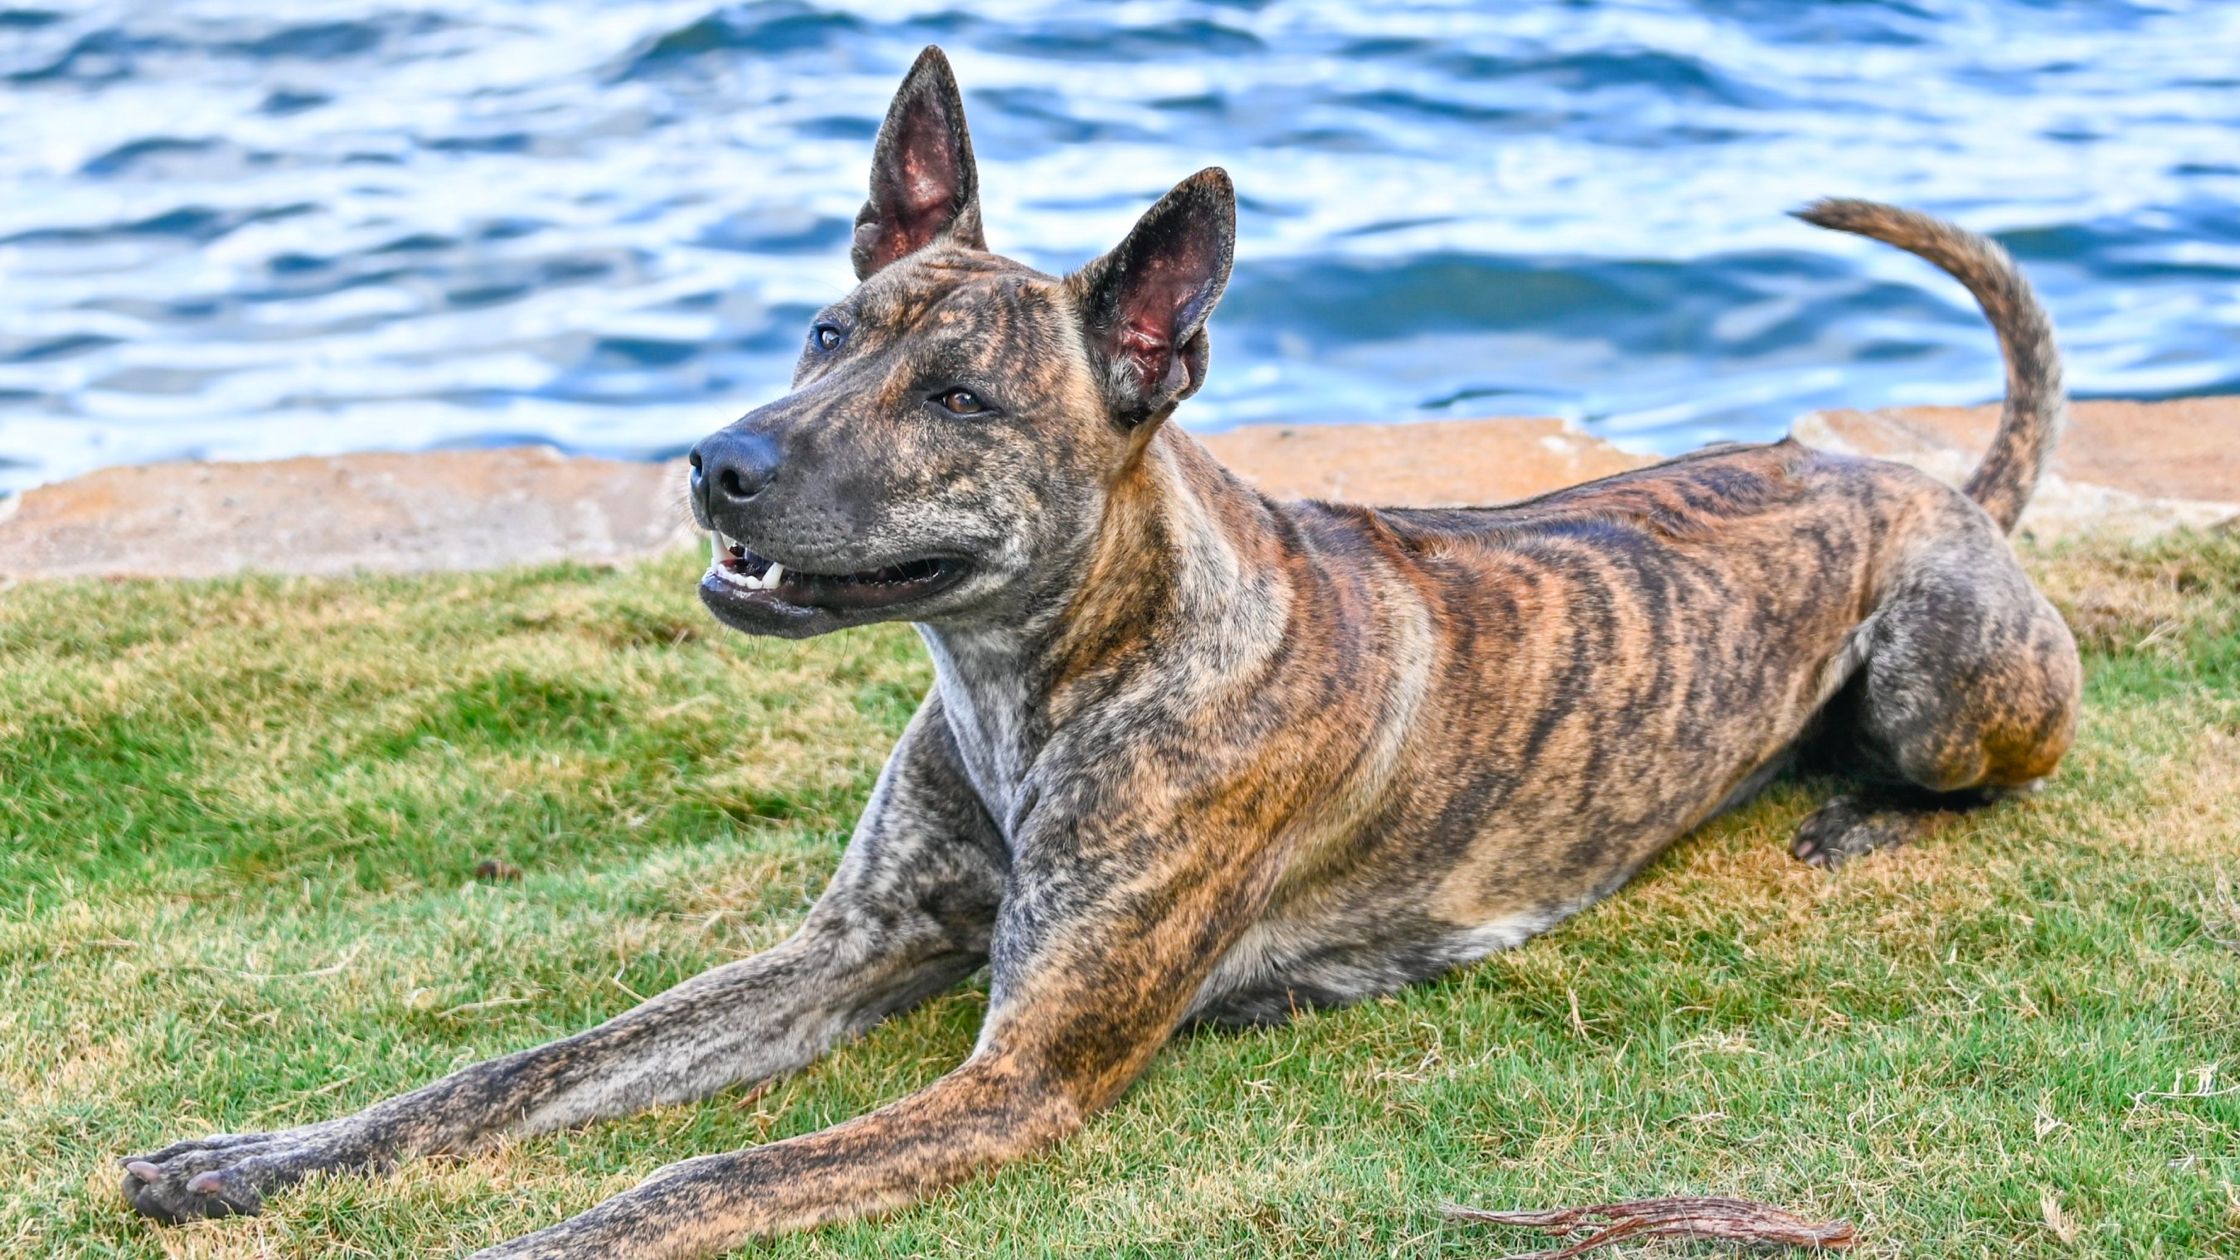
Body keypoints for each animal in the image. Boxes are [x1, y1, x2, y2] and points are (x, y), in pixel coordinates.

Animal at [118, 46, 2078, 1255]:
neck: (1042, 676)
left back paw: (1855, 810)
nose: (717, 461)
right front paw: (249, 1157)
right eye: (827, 330)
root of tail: (1931, 481)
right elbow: (517, 1074)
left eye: (962, 400)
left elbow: (690, 1174)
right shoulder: (841, 953)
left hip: (1944, 675)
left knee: (1975, 768)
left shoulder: (1018, 1078)